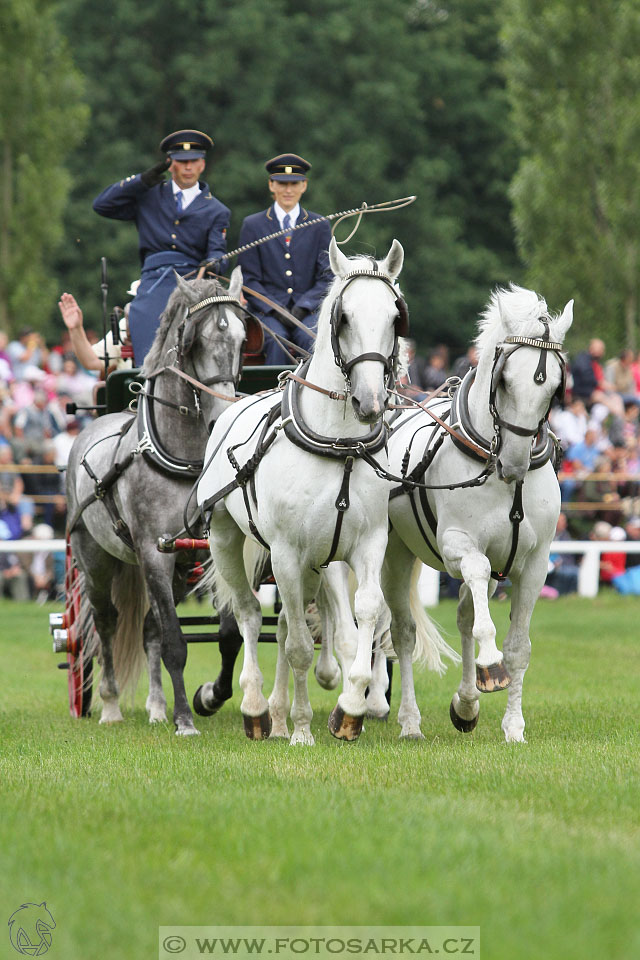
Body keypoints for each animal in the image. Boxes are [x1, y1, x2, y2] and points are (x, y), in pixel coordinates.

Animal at [199, 238, 430, 744]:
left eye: (395, 317)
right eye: (343, 317)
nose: (370, 402)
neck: (340, 444)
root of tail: (233, 405)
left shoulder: (367, 543)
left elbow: (364, 615)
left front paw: (351, 706)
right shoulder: (286, 551)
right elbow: (300, 648)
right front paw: (302, 729)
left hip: (313, 563)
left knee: (288, 621)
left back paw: (279, 711)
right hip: (228, 538)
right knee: (249, 614)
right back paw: (257, 708)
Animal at [372, 284, 572, 744]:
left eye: (555, 386)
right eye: (504, 380)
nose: (515, 463)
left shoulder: (534, 564)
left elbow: (519, 649)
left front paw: (512, 726)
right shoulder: (456, 546)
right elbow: (479, 593)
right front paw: (490, 662)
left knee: (464, 614)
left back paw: (465, 704)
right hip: (394, 554)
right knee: (403, 633)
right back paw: (409, 720)